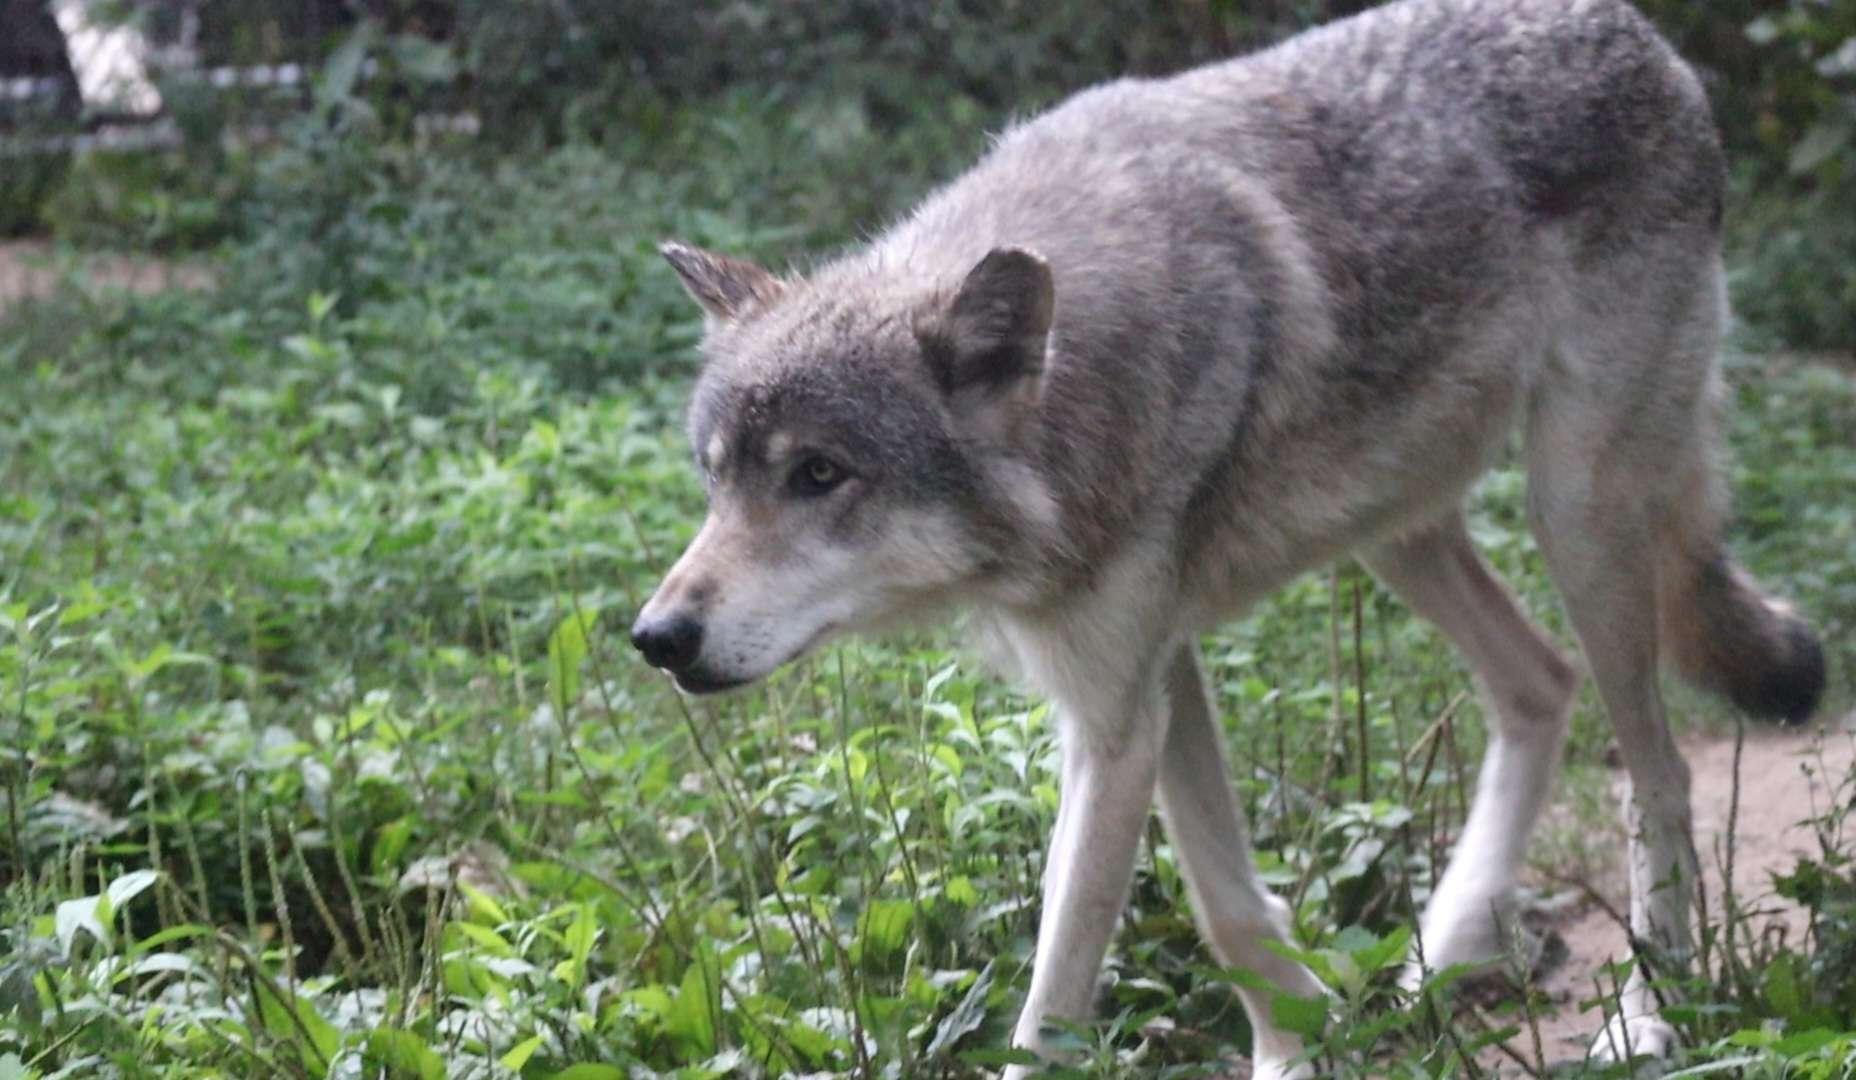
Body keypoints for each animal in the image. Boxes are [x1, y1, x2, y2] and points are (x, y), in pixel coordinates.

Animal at [631, 0, 1827, 1073]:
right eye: (716, 478)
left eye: (817, 475)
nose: (655, 637)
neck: (1082, 400)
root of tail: (1645, 38)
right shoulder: (1154, 681)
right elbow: (1230, 910)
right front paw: (1302, 1045)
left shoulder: (1112, 717)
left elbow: (1055, 1001)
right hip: (1396, 535)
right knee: (1539, 681)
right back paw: (1436, 957)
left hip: (1575, 517)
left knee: (1656, 775)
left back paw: (1650, 1017)